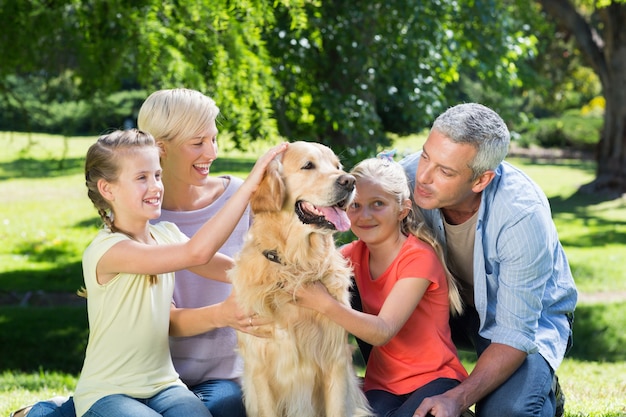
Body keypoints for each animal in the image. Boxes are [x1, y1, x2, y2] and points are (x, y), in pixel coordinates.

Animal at [228, 141, 370, 414]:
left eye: (338, 166)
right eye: (308, 165)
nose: (350, 181)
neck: (296, 266)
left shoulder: (335, 362)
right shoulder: (259, 369)